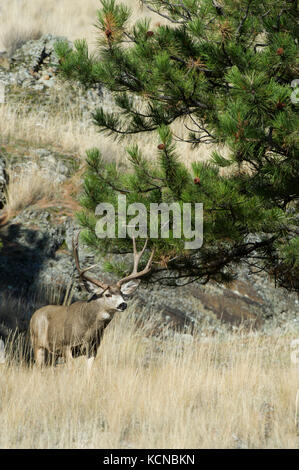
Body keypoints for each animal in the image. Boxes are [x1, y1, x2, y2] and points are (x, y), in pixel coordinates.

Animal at [29, 233, 156, 372]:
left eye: (122, 294)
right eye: (107, 294)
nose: (123, 304)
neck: (87, 331)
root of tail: (34, 315)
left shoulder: (93, 349)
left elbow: (89, 372)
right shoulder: (65, 345)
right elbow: (72, 370)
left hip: (51, 354)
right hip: (37, 344)